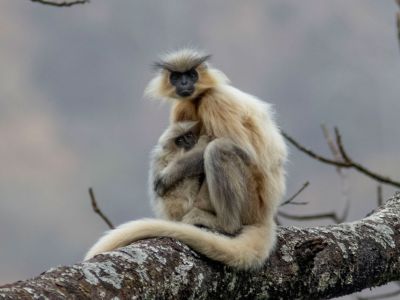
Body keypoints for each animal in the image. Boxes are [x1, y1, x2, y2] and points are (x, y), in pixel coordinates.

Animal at [85, 49, 288, 270]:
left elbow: (243, 149)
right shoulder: (182, 106)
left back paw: (224, 223)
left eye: (191, 75)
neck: (199, 97)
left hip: (252, 201)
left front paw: (169, 174)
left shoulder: (215, 100)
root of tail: (266, 214)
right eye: (176, 76)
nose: (183, 83)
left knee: (218, 149)